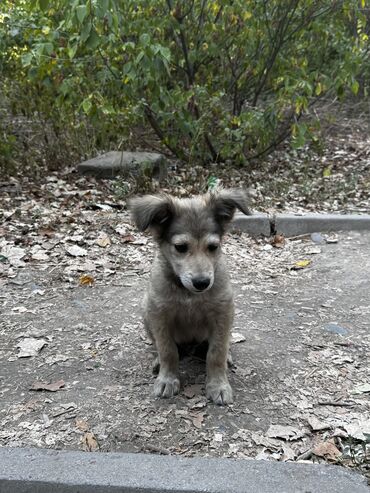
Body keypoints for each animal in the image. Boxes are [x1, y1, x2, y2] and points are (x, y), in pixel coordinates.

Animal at [129, 188, 250, 404]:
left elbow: (216, 352)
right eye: (180, 247)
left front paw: (218, 385)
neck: (189, 294)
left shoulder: (223, 310)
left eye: (213, 247)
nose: (202, 282)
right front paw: (167, 379)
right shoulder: (159, 312)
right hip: (145, 310)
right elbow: (167, 350)